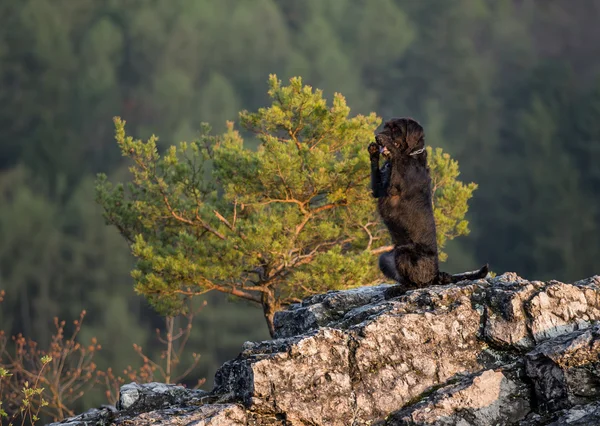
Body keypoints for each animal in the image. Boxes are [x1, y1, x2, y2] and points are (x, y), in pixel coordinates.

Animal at [368, 117, 490, 290]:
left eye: (395, 129)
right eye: (386, 126)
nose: (378, 137)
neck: (410, 156)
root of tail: (437, 273)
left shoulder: (393, 188)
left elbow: (396, 156)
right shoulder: (378, 190)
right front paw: (372, 151)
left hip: (405, 253)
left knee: (419, 283)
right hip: (385, 258)